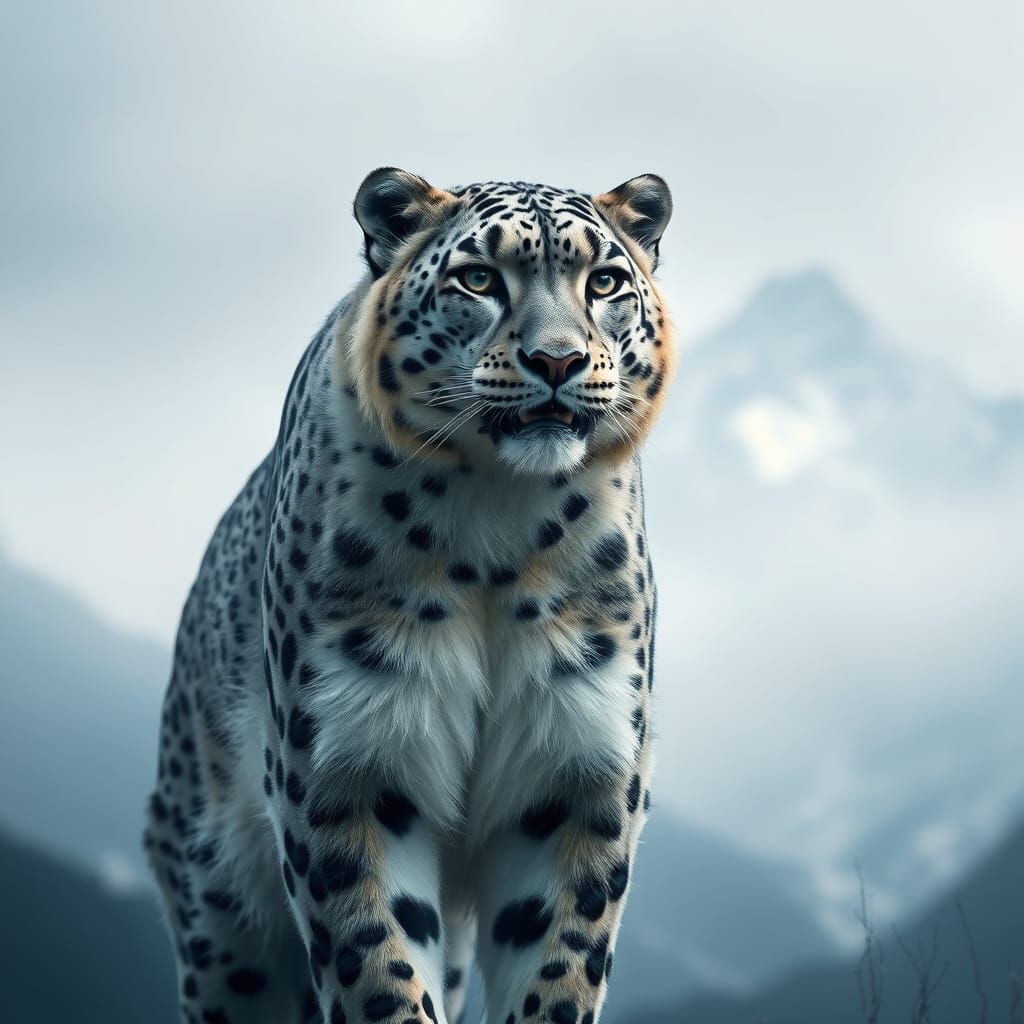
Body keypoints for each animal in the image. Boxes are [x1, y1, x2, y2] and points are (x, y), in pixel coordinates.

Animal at [145, 167, 675, 1024]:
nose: (556, 361)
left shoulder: (576, 767)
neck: (498, 534)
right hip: (221, 922)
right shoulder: (349, 763)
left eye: (604, 282)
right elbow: (375, 957)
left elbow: (560, 963)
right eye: (480, 279)